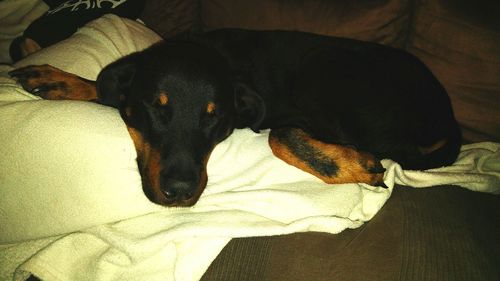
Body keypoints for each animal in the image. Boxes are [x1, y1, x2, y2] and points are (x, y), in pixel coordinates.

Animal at [9, 29, 460, 206]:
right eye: (156, 107)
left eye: (214, 118)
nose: (179, 192)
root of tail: (449, 117)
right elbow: (107, 91)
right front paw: (58, 79)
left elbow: (280, 133)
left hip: (323, 72)